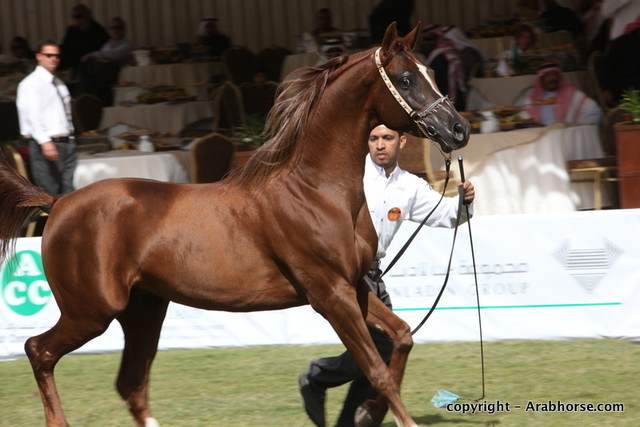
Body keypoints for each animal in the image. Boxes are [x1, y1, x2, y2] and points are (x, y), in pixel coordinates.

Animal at [0, 23, 469, 427]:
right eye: (405, 79)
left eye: (430, 71)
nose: (459, 129)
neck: (314, 190)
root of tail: (59, 202)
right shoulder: (329, 295)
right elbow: (376, 368)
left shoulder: (353, 286)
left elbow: (402, 336)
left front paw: (366, 412)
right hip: (91, 311)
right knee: (38, 350)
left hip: (143, 310)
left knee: (130, 383)